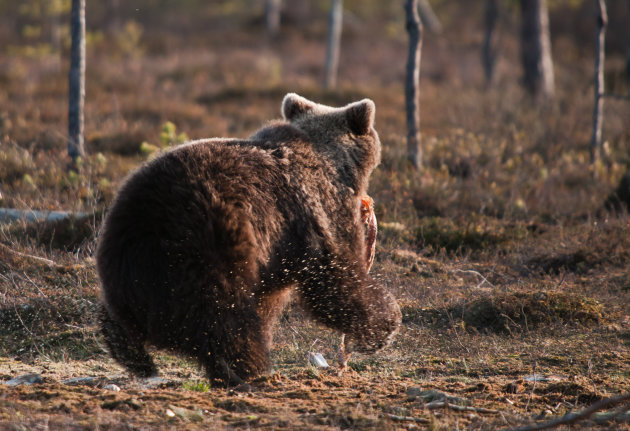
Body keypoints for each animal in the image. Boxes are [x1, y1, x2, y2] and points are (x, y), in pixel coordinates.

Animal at [97, 93, 404, 384]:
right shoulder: (317, 213)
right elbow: (337, 278)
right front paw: (383, 326)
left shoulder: (276, 252)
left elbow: (270, 298)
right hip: (208, 246)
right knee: (224, 317)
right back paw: (248, 369)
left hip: (129, 261)